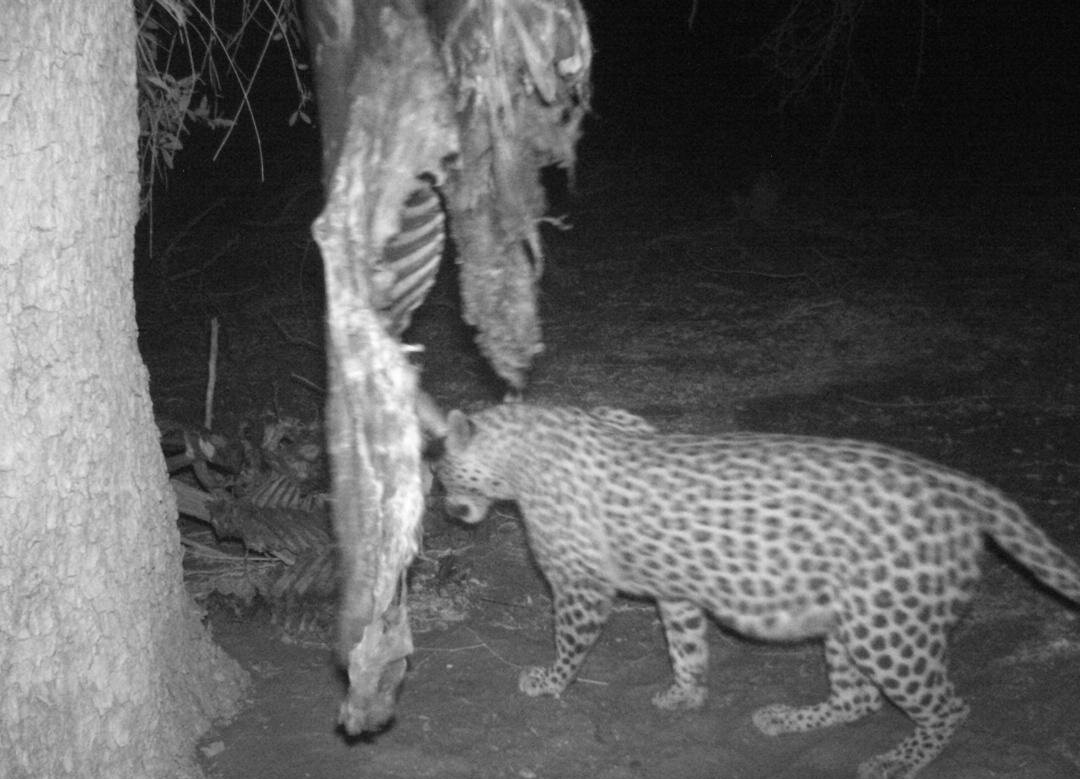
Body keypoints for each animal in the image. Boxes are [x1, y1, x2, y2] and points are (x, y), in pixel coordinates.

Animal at [433, 402, 1080, 779]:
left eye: (438, 471)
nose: (445, 507)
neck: (522, 453)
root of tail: (961, 484)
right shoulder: (677, 590)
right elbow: (686, 646)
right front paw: (686, 695)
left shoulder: (580, 586)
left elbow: (570, 644)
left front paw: (547, 682)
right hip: (851, 622)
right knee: (859, 698)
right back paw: (786, 719)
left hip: (889, 628)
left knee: (948, 706)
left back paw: (896, 761)